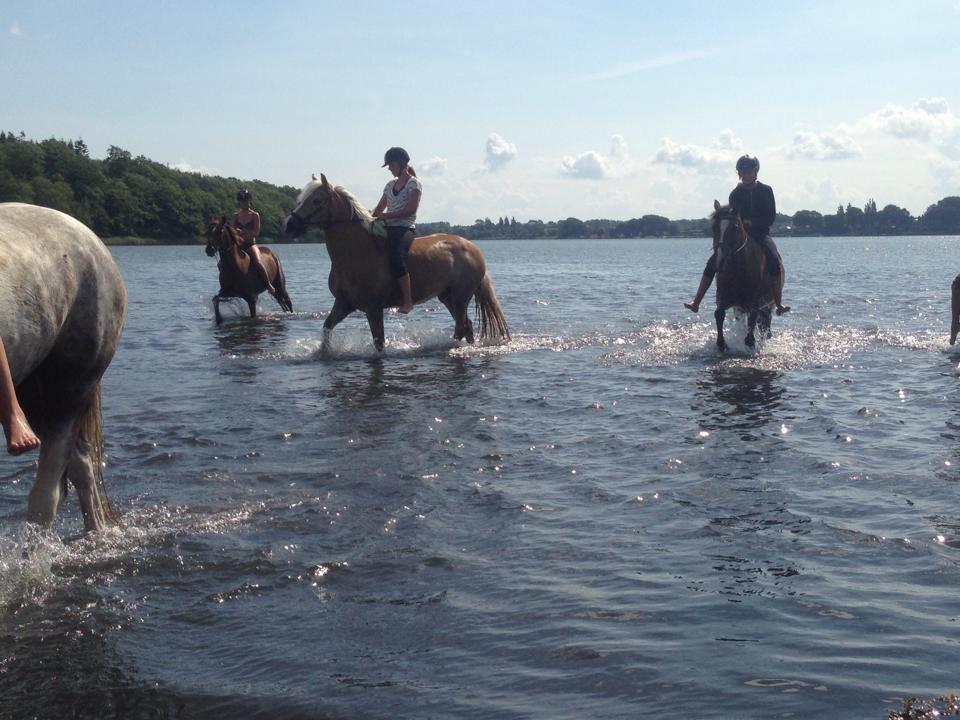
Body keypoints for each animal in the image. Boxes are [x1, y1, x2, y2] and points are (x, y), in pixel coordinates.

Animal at [284, 176, 510, 352]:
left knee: (461, 326)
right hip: (447, 297)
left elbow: (379, 343)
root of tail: (473, 248)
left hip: (461, 296)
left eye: (316, 200)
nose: (289, 225)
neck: (355, 252)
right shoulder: (343, 303)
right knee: (466, 326)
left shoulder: (373, 308)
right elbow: (326, 328)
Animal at [708, 200, 784, 352]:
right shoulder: (724, 297)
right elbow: (719, 314)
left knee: (765, 323)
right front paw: (721, 343)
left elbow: (753, 317)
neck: (738, 269)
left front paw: (750, 341)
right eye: (714, 227)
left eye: (735, 227)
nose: (720, 260)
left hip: (769, 303)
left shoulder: (756, 300)